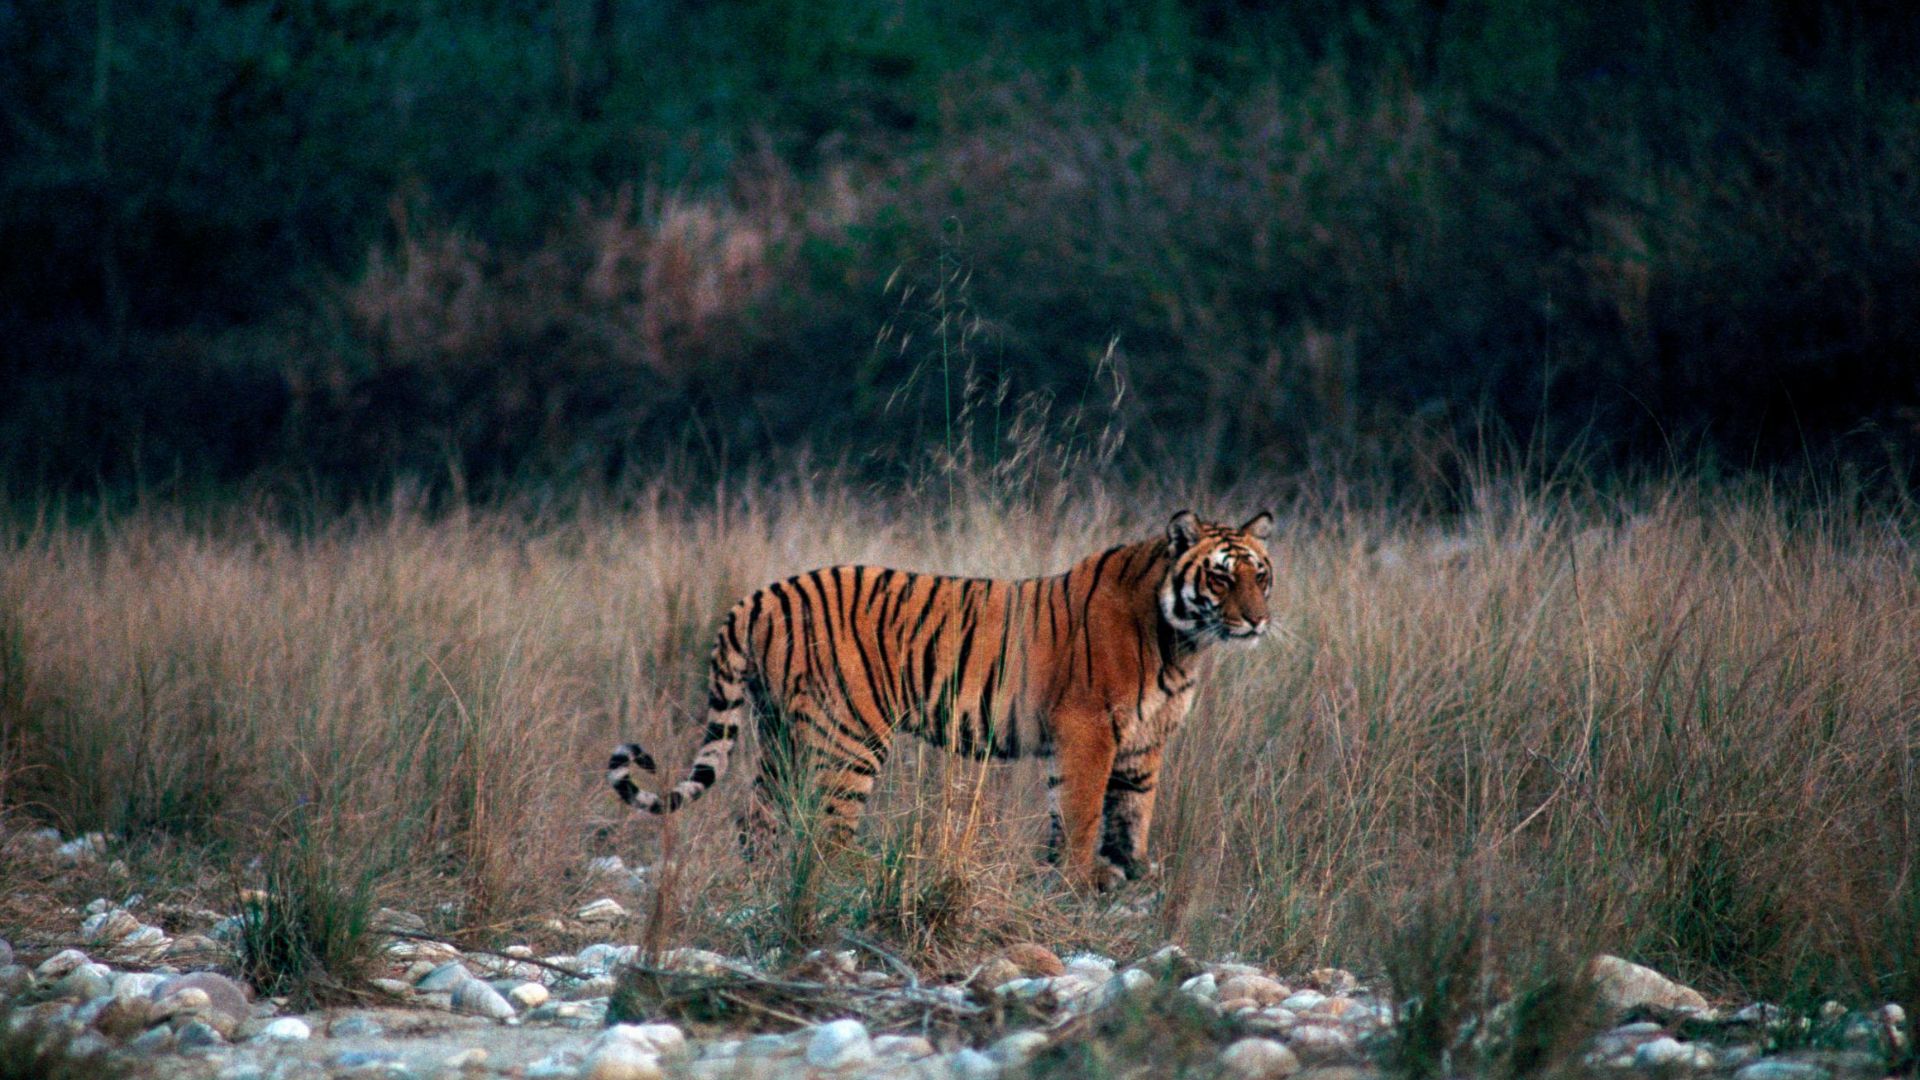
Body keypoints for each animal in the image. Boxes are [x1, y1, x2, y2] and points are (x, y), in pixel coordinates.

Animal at [606, 507, 1274, 887]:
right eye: (1220, 576)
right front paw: (1081, 885)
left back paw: (763, 886)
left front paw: (1126, 878)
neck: (1182, 641)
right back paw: (874, 878)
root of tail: (760, 595)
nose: (1258, 621)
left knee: (761, 822)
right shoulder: (1089, 730)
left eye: (1260, 575)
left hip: (783, 735)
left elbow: (1130, 814)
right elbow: (1083, 815)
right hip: (848, 738)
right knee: (826, 834)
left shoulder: (1141, 745)